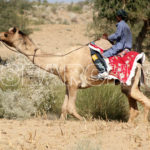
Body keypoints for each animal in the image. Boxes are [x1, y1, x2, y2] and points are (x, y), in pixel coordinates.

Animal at [0, 27, 150, 122]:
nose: (0, 34)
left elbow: (70, 108)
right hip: (128, 84)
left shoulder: (74, 83)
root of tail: (140, 63)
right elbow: (64, 108)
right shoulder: (68, 84)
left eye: (8, 33)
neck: (59, 60)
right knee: (133, 104)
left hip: (130, 82)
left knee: (144, 101)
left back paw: (142, 124)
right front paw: (61, 123)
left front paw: (87, 119)